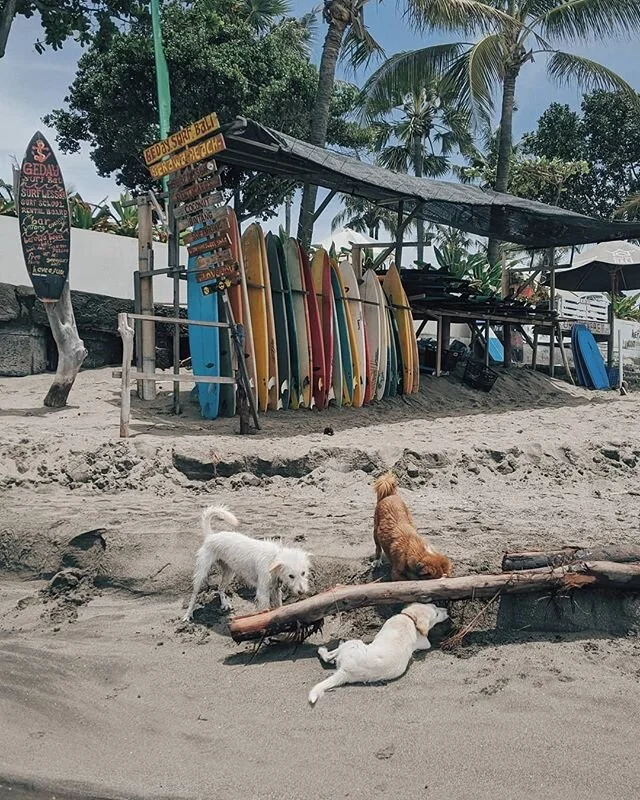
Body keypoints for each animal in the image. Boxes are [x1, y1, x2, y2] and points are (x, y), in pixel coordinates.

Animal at [181, 506, 312, 620]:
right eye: (291, 576)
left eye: (303, 573)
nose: (302, 592)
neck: (273, 559)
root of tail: (211, 536)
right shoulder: (263, 593)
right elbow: (264, 610)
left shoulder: (275, 590)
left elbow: (278, 607)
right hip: (202, 573)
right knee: (194, 595)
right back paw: (188, 615)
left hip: (229, 573)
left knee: (220, 588)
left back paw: (225, 603)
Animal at [308, 608, 448, 708]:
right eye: (436, 612)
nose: (447, 611)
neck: (411, 620)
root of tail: (345, 671)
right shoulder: (425, 642)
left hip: (354, 643)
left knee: (329, 656)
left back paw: (327, 648)